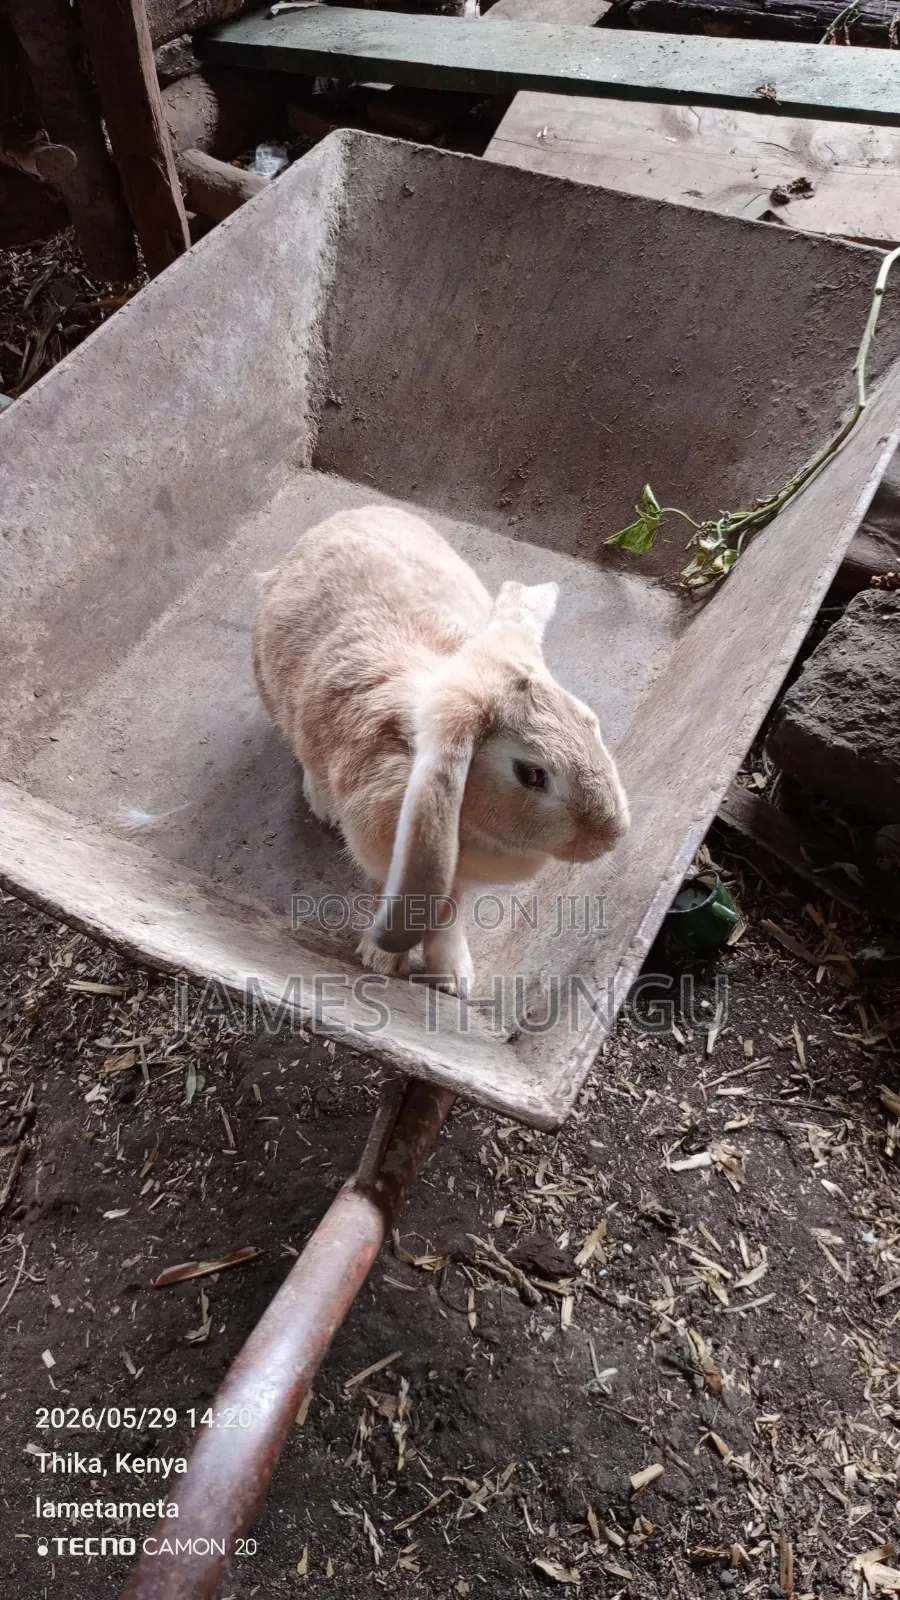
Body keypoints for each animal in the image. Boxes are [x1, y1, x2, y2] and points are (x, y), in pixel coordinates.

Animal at [252, 504, 629, 993]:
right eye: (531, 774)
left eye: (590, 721)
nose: (611, 836)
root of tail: (346, 515)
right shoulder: (388, 858)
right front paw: (382, 961)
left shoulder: (456, 882)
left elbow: (450, 917)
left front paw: (454, 979)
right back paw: (323, 803)